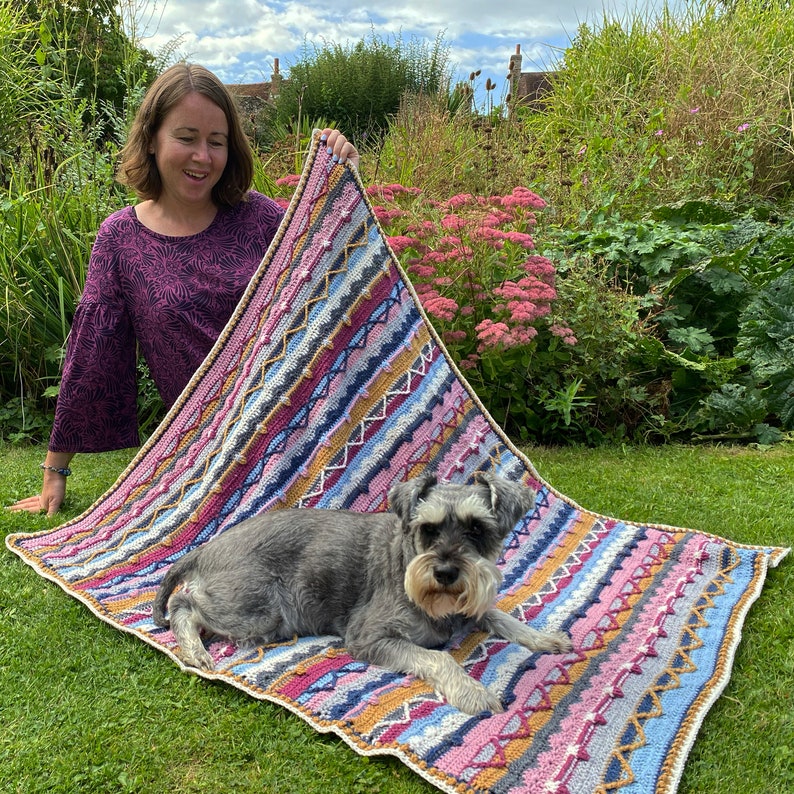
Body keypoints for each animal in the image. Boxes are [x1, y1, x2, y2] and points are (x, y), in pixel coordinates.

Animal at [152, 470, 568, 712]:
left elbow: (499, 614)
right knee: (184, 603)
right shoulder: (370, 637)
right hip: (256, 608)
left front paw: (545, 638)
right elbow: (438, 658)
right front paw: (472, 692)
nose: (446, 572)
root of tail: (206, 547)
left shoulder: (470, 607)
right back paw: (196, 652)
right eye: (429, 529)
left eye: (477, 528)